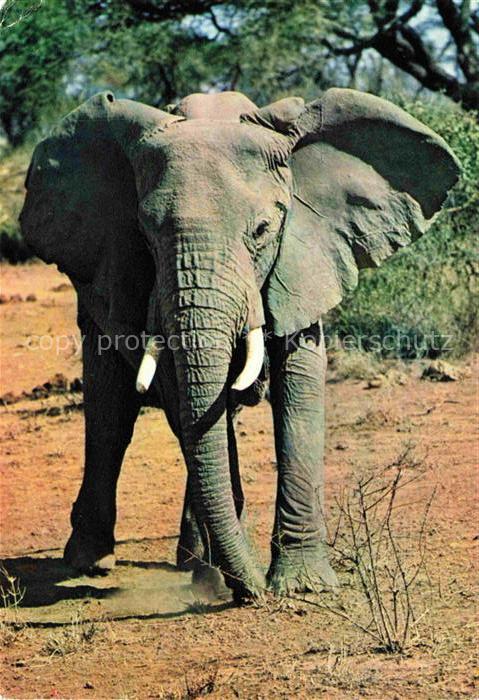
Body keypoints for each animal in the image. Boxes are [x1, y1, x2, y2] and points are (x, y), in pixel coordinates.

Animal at [20, 87, 459, 600]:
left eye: (263, 230)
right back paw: (99, 562)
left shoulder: (304, 257)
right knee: (112, 412)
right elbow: (185, 399)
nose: (256, 591)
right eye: (145, 232)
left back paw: (192, 561)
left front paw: (303, 584)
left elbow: (299, 391)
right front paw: (231, 580)